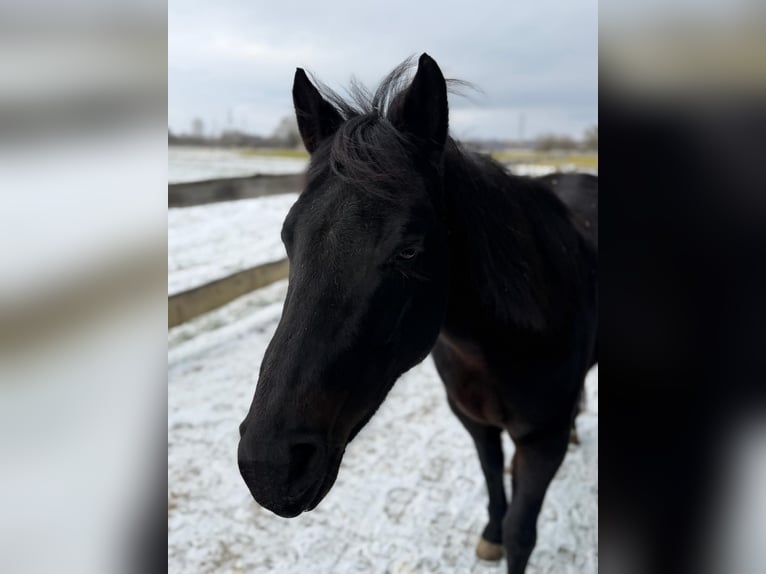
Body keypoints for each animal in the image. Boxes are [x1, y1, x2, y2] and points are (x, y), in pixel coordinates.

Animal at [238, 54, 598, 573]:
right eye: (289, 237)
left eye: (408, 250)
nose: (269, 465)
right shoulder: (475, 422)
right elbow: (493, 481)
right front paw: (490, 536)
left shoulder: (539, 444)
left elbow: (522, 534)